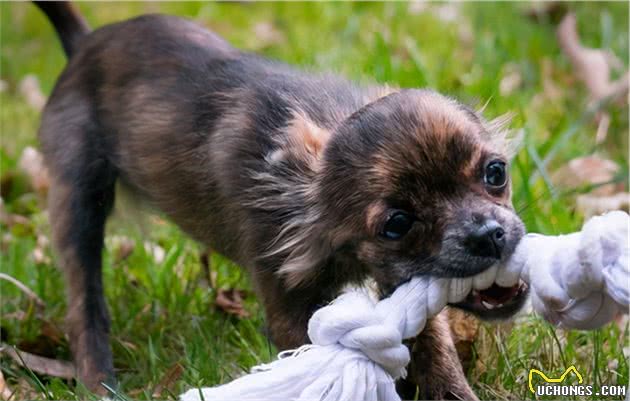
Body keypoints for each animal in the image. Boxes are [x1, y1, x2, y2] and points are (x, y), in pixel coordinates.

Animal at [34, 2, 528, 396]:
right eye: (397, 224)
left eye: (496, 173)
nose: (489, 235)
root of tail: (83, 44)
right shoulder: (290, 308)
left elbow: (437, 355)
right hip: (78, 201)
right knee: (84, 305)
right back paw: (100, 383)